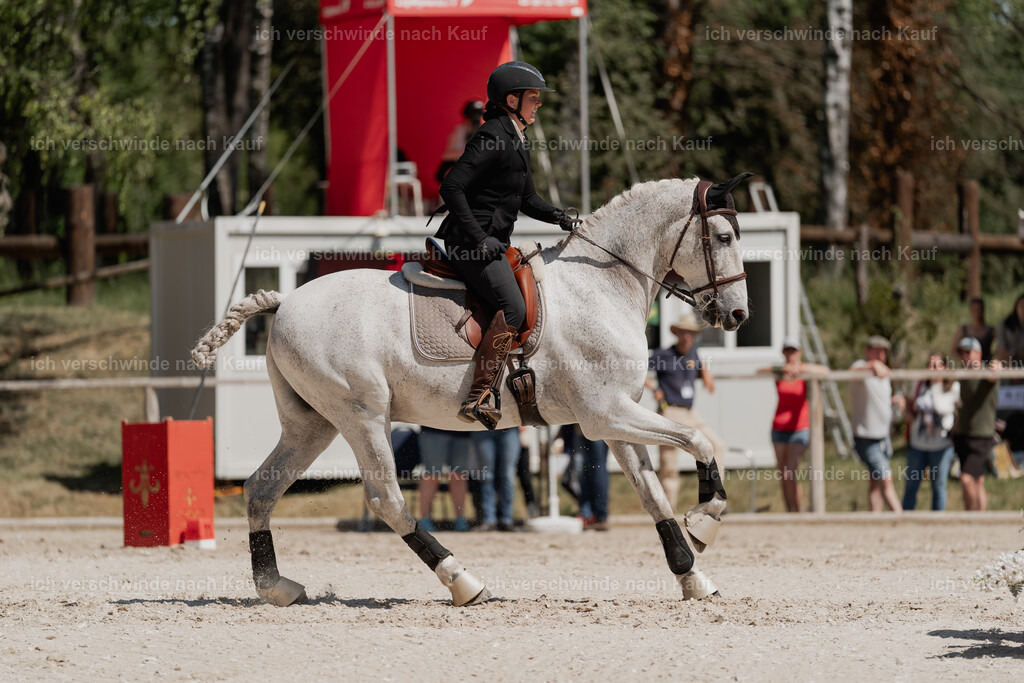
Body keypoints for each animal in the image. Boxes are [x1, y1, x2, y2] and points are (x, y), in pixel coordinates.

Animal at [192, 174, 751, 607]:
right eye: (724, 236)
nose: (738, 315)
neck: (602, 286)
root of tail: (285, 302)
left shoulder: (617, 418)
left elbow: (652, 492)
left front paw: (692, 574)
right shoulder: (603, 415)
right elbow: (697, 442)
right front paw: (706, 519)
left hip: (311, 424)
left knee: (260, 488)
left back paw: (275, 587)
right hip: (361, 415)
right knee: (386, 499)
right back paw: (463, 582)